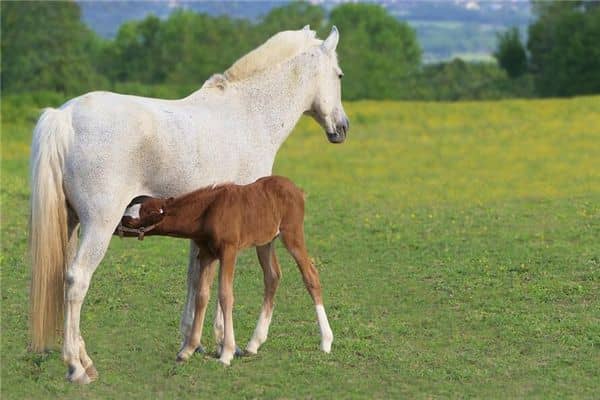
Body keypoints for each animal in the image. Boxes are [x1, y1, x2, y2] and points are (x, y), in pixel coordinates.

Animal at [118, 176, 332, 366]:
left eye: (130, 220)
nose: (116, 227)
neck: (207, 212)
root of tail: (297, 190)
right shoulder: (207, 254)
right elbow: (202, 295)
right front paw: (188, 350)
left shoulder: (229, 251)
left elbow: (225, 295)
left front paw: (226, 353)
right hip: (265, 241)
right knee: (272, 276)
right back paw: (254, 344)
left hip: (292, 234)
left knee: (310, 275)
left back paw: (326, 341)